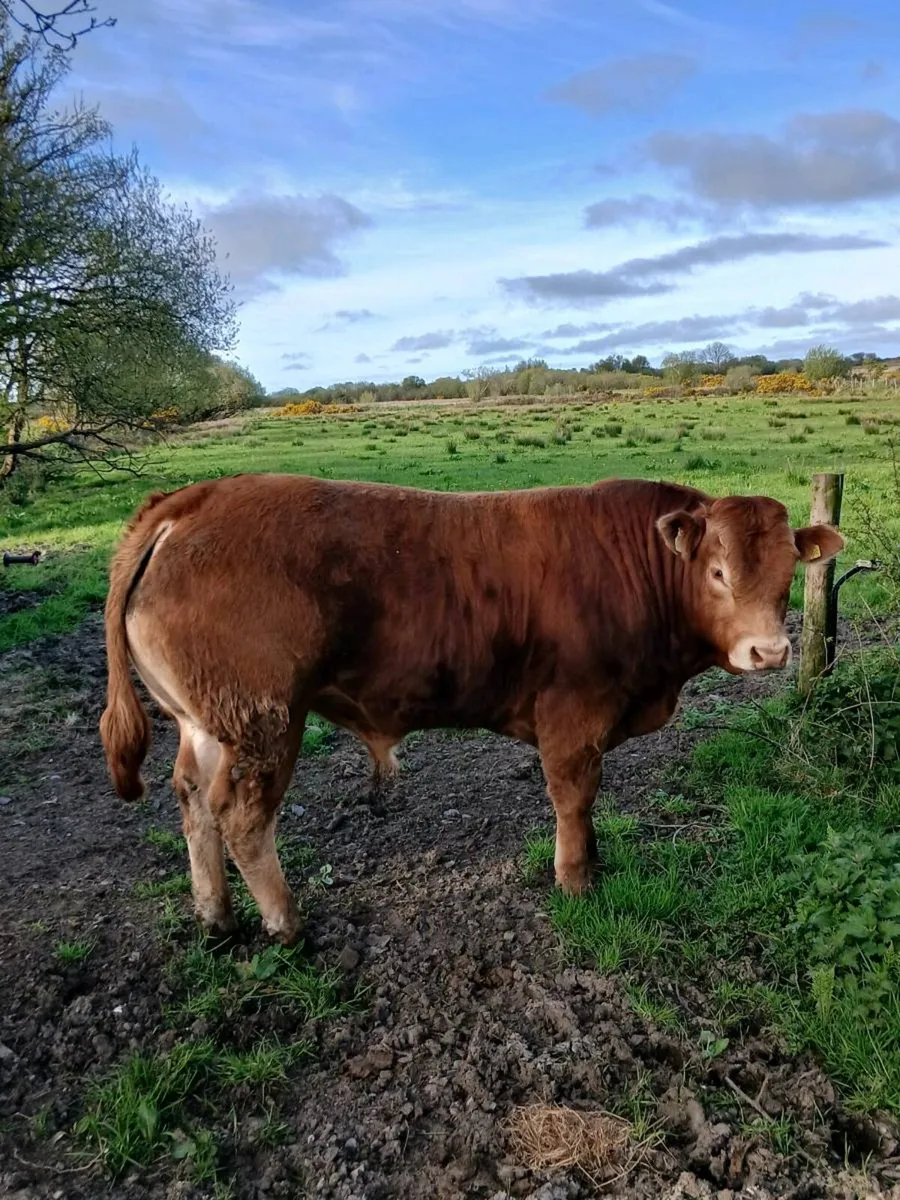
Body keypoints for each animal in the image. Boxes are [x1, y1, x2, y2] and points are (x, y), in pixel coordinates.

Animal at [100, 473, 843, 945]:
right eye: (718, 573)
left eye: (789, 574)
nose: (770, 651)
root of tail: (190, 499)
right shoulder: (575, 710)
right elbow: (574, 796)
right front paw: (576, 878)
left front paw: (592, 861)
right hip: (265, 720)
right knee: (243, 816)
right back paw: (287, 925)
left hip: (206, 725)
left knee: (194, 801)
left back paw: (216, 918)